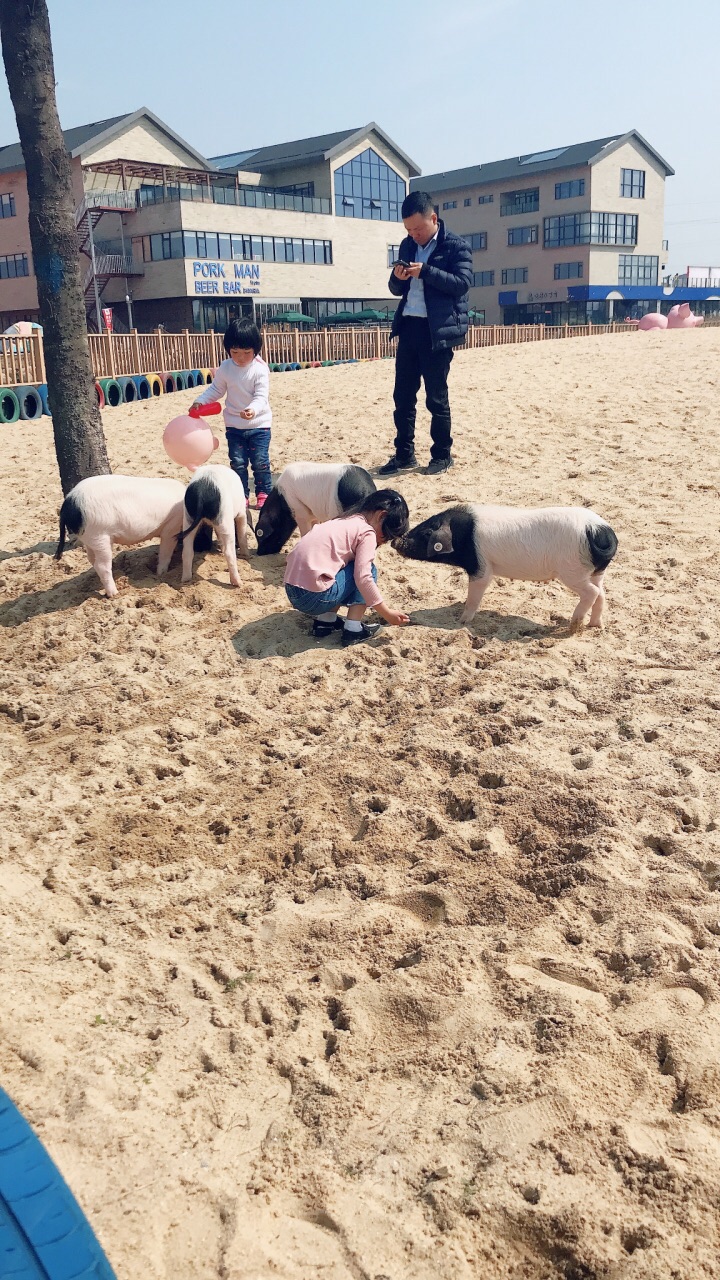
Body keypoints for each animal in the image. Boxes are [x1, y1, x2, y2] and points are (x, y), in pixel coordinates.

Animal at [56, 476, 184, 599]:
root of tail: (68, 503)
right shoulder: (172, 527)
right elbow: (165, 552)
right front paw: (161, 574)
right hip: (99, 535)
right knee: (101, 565)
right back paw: (114, 594)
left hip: (89, 539)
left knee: (92, 559)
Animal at [392, 506, 617, 632]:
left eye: (428, 532)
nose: (396, 541)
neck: (462, 535)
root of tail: (600, 530)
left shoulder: (481, 567)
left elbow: (475, 595)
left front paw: (461, 621)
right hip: (596, 571)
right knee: (602, 594)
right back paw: (595, 626)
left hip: (572, 570)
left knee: (592, 592)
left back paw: (574, 626)